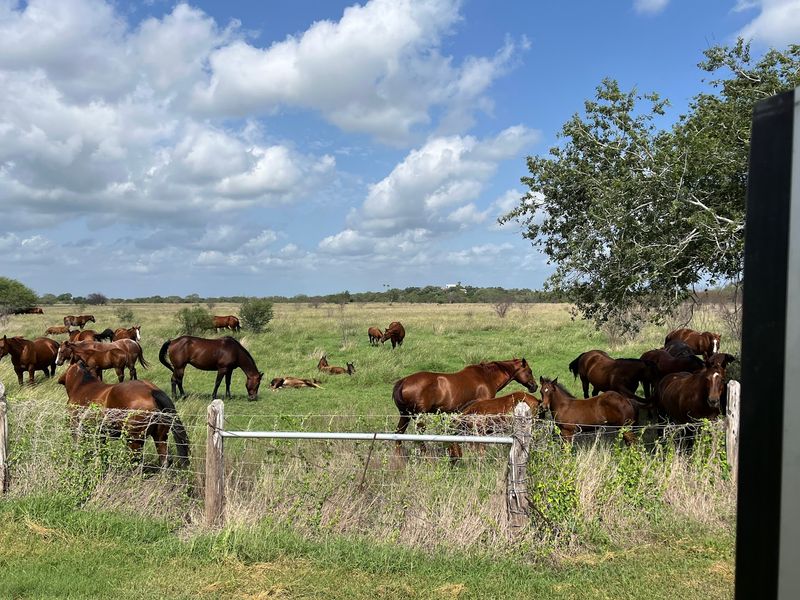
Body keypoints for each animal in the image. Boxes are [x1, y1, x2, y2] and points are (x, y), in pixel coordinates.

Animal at [58, 362, 189, 468]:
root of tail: (151, 391)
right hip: (160, 438)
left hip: (134, 441)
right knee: (165, 460)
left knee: (137, 462)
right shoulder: (101, 435)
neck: (82, 386)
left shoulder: (76, 430)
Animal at [392, 358, 537, 454]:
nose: (534, 387)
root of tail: (403, 382)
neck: (486, 377)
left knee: (398, 435)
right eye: (529, 371)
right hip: (418, 417)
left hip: (405, 416)